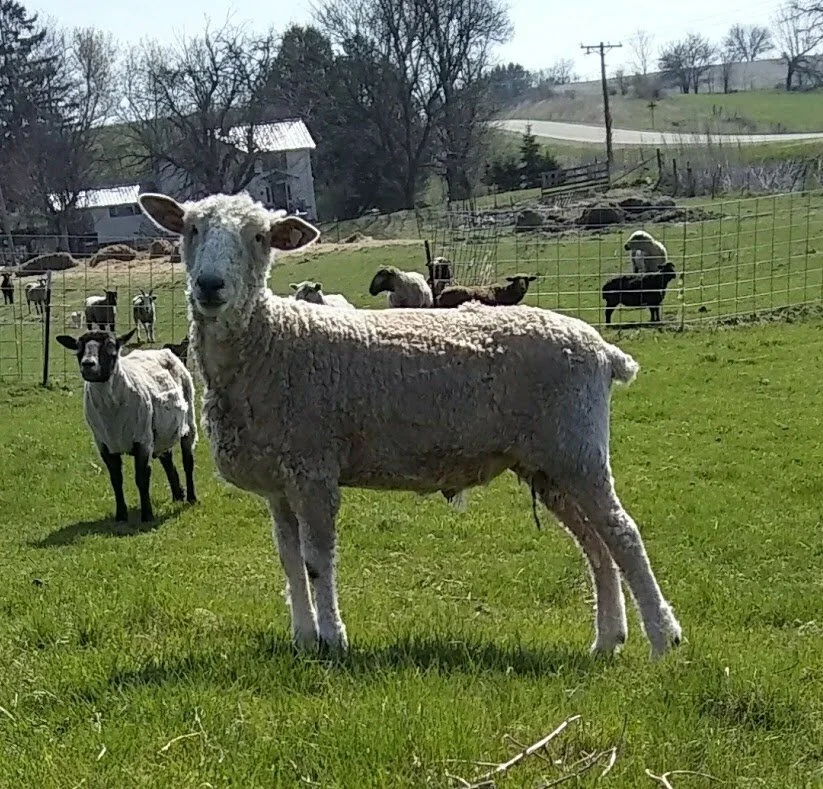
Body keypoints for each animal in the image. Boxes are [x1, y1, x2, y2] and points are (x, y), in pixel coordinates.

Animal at [55, 328, 198, 522]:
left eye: (111, 346)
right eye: (78, 347)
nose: (88, 364)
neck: (111, 411)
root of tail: (164, 351)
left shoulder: (142, 441)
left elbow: (142, 478)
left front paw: (147, 515)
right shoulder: (103, 444)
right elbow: (116, 479)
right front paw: (121, 515)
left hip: (188, 422)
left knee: (187, 462)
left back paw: (191, 498)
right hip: (161, 431)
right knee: (167, 460)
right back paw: (177, 495)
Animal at [138, 190, 682, 660]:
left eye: (259, 237)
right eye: (190, 229)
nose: (210, 286)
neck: (272, 342)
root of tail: (603, 351)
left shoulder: (314, 470)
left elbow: (318, 561)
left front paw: (333, 640)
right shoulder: (279, 483)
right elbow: (291, 564)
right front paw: (303, 640)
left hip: (578, 450)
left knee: (623, 534)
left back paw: (663, 639)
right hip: (549, 464)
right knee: (595, 545)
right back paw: (608, 640)